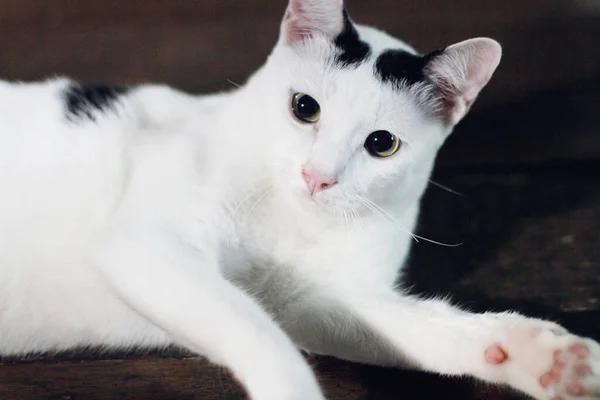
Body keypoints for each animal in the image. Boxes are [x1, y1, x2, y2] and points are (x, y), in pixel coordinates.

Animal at [0, 0, 596, 400]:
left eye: (382, 144)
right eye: (304, 108)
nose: (317, 177)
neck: (294, 222)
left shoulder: (313, 304)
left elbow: (425, 329)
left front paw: (541, 357)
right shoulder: (146, 247)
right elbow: (254, 330)